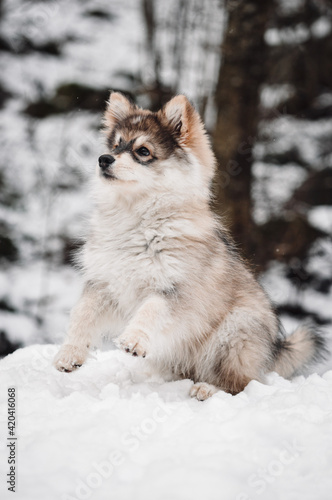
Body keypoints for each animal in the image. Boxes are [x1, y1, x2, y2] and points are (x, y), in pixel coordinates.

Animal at [53, 92, 326, 400]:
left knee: (241, 383)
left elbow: (151, 309)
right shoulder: (103, 284)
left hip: (235, 332)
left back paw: (207, 388)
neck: (138, 218)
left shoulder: (174, 287)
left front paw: (134, 339)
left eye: (143, 151)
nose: (103, 159)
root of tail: (274, 351)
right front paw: (69, 353)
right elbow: (81, 316)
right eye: (116, 145)